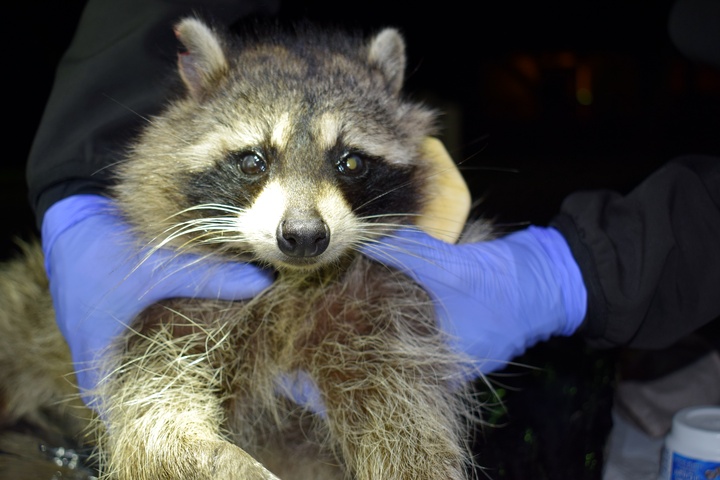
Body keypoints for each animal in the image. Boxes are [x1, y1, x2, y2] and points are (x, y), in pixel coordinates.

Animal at [0, 16, 490, 480]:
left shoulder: (381, 313)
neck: (292, 281)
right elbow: (153, 418)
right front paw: (210, 457)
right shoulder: (168, 314)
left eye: (350, 161)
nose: (304, 236)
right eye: (254, 160)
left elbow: (403, 411)